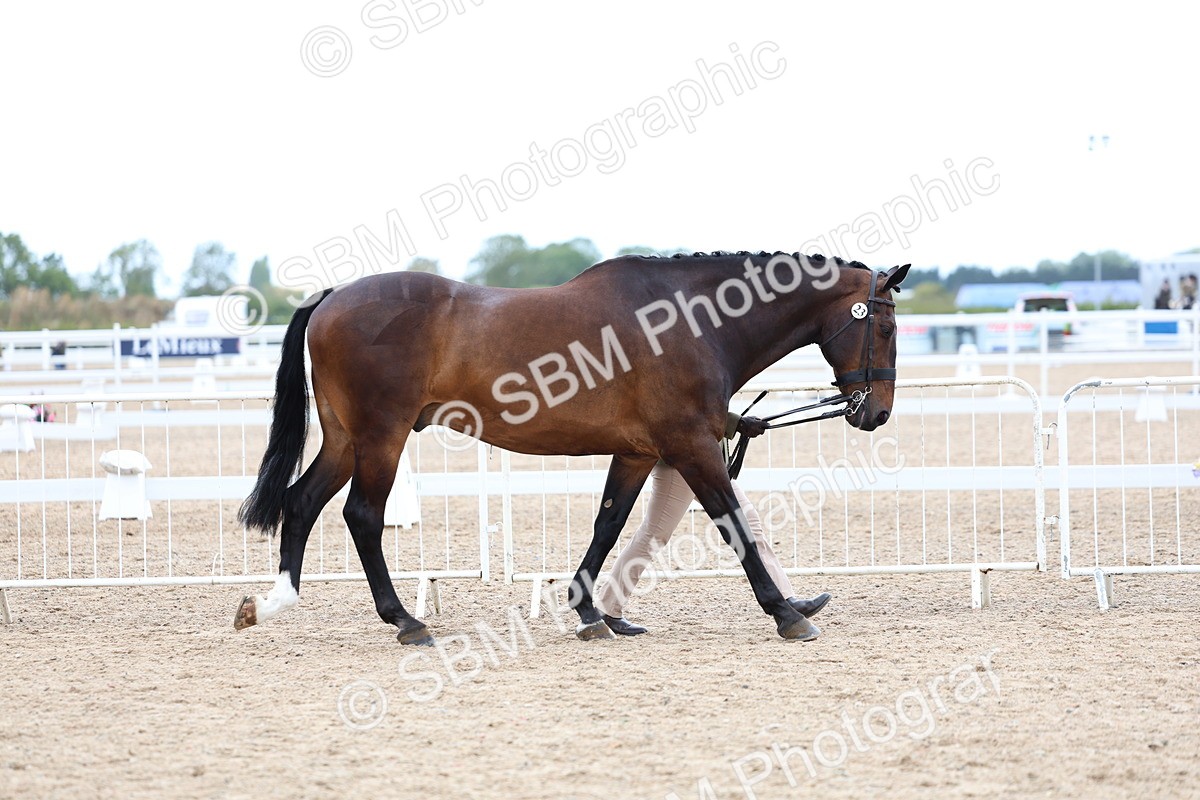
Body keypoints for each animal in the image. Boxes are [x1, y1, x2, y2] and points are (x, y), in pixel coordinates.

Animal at [234, 251, 910, 644]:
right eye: (884, 325)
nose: (875, 412)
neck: (690, 320)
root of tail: (333, 296)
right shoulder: (692, 446)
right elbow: (733, 523)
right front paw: (787, 613)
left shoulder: (639, 452)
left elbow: (608, 525)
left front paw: (593, 615)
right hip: (381, 438)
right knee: (361, 516)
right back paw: (406, 622)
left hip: (347, 439)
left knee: (302, 502)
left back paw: (273, 604)